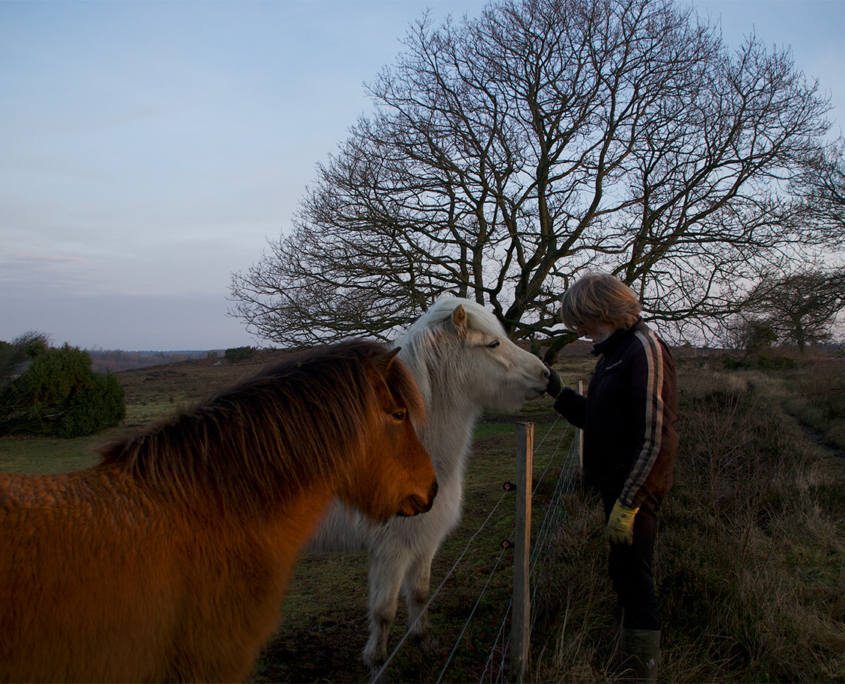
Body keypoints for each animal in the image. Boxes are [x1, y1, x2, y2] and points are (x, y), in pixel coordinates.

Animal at [306, 298, 552, 668]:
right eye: (493, 344)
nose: (546, 374)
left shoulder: (425, 541)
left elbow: (420, 593)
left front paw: (424, 640)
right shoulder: (391, 550)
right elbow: (384, 611)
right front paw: (376, 661)